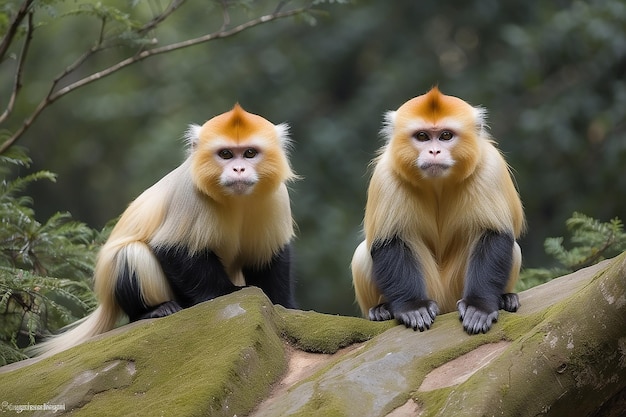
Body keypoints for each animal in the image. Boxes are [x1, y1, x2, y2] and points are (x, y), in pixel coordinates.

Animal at [33, 104, 296, 354]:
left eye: (250, 153)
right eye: (226, 154)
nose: (238, 169)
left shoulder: (277, 197)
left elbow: (269, 257)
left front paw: (283, 308)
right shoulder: (190, 195)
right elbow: (174, 250)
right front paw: (228, 293)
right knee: (130, 253)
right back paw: (152, 311)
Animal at [352, 88, 520, 334]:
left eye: (446, 136)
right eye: (422, 136)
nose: (434, 151)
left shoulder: (489, 168)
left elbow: (493, 233)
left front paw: (479, 307)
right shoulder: (386, 175)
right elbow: (390, 239)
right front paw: (413, 307)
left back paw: (506, 298)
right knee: (361, 253)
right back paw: (382, 309)